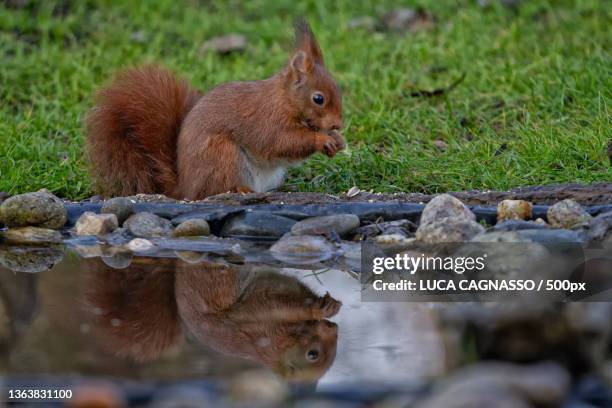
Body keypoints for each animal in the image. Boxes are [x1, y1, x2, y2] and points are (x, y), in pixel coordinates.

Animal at [86, 21, 344, 200]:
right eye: (318, 98)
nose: (338, 125)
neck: (285, 99)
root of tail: (186, 188)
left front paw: (337, 140)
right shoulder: (267, 120)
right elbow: (281, 142)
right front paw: (322, 139)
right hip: (222, 155)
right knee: (215, 189)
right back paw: (241, 189)